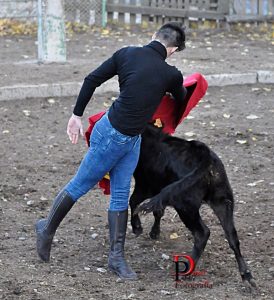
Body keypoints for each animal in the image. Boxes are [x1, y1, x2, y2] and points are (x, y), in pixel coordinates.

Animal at [130, 123, 256, 288]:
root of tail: (206, 158)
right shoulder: (159, 191)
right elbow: (158, 210)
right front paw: (154, 232)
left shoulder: (145, 186)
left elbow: (133, 202)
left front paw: (137, 228)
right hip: (223, 201)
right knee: (232, 236)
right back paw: (246, 275)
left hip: (185, 207)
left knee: (202, 233)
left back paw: (187, 270)